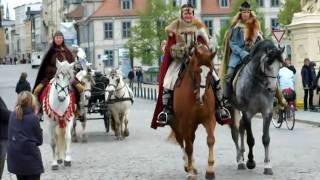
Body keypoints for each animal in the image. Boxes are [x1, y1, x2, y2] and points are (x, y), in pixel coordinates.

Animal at [170, 44, 215, 179]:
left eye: (211, 71)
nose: (202, 98)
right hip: (176, 125)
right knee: (182, 142)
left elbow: (210, 140)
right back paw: (188, 166)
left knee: (190, 140)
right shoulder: (185, 123)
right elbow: (188, 147)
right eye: (196, 71)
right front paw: (190, 172)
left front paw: (210, 170)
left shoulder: (209, 119)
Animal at [229, 39, 284, 176]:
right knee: (236, 133)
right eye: (268, 64)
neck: (259, 84)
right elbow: (250, 139)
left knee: (241, 128)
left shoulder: (267, 112)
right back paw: (240, 160)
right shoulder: (247, 113)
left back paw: (242, 156)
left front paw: (267, 165)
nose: (272, 88)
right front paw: (250, 161)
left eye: (280, 66)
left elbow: (266, 139)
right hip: (234, 109)